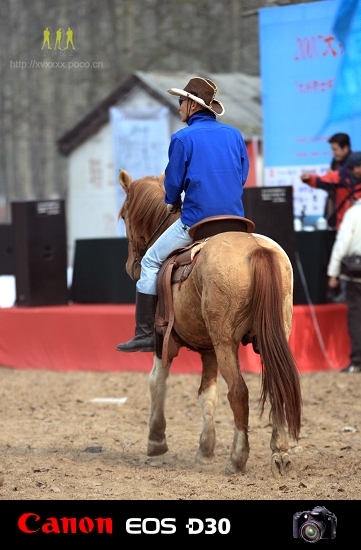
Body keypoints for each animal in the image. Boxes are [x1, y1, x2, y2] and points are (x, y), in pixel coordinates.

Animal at [118, 169, 300, 478]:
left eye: (122, 215)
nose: (132, 265)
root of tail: (256, 249)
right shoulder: (208, 349)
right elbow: (208, 394)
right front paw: (205, 449)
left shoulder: (163, 341)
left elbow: (157, 382)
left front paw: (156, 441)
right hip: (270, 339)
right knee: (277, 387)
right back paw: (280, 453)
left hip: (226, 343)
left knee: (239, 392)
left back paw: (237, 459)